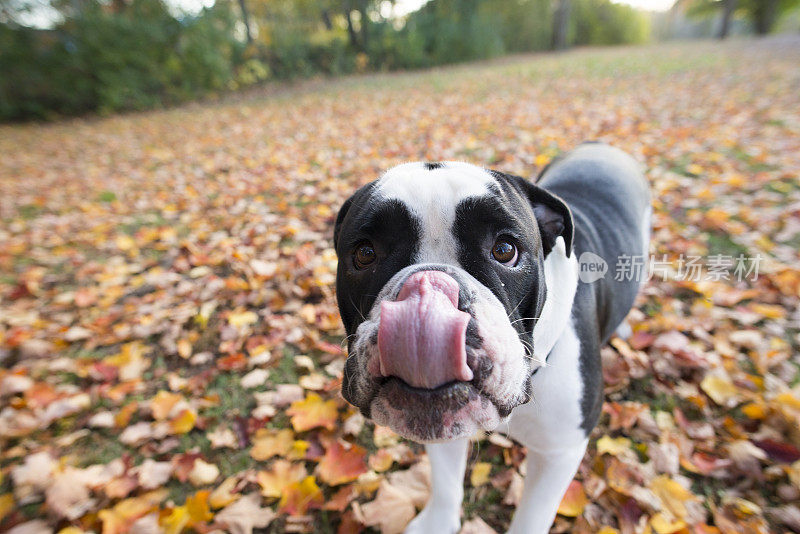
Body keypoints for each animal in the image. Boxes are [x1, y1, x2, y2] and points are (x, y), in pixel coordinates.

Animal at [332, 143, 648, 534]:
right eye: (364, 254)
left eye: (505, 250)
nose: (430, 286)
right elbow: (446, 483)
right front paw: (437, 522)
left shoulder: (559, 453)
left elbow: (531, 519)